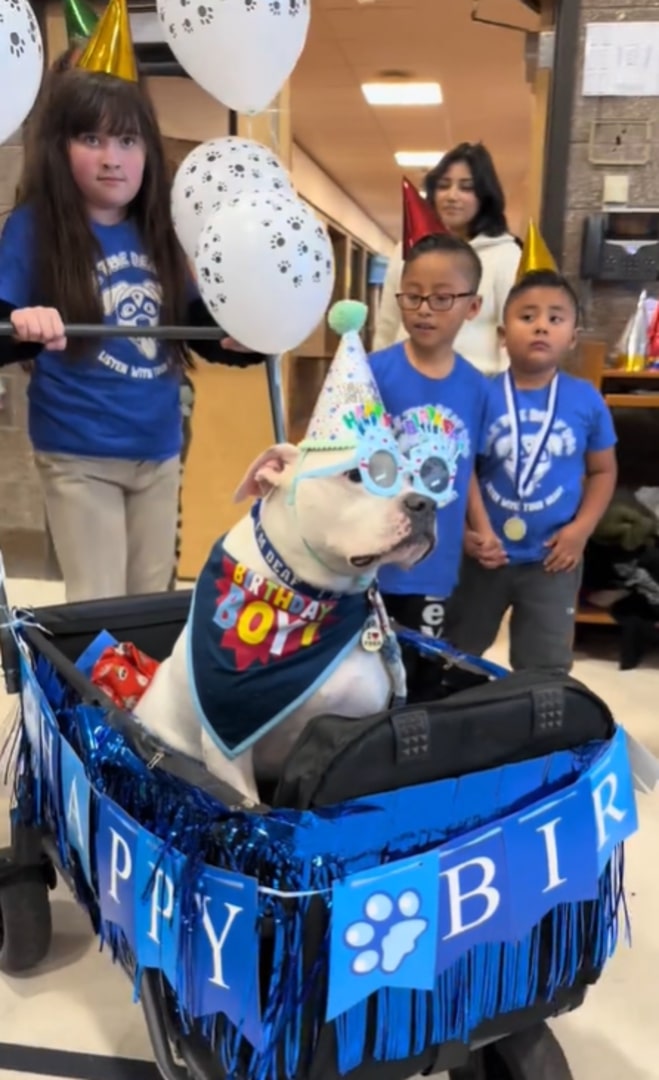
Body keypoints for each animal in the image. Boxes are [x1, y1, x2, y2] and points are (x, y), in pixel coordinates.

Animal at [133, 442, 434, 807]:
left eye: (415, 478)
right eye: (354, 474)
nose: (425, 503)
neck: (309, 601)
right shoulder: (227, 747)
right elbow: (248, 800)